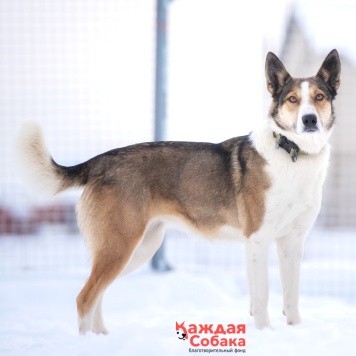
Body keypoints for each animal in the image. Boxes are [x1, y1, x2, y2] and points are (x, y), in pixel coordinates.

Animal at [16, 48, 340, 332]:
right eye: (293, 100)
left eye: (319, 97)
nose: (309, 120)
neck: (293, 153)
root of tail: (100, 162)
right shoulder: (258, 239)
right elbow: (261, 297)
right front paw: (265, 333)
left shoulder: (292, 242)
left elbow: (291, 296)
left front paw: (295, 330)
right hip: (120, 246)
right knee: (84, 298)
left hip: (137, 250)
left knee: (98, 294)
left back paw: (101, 337)